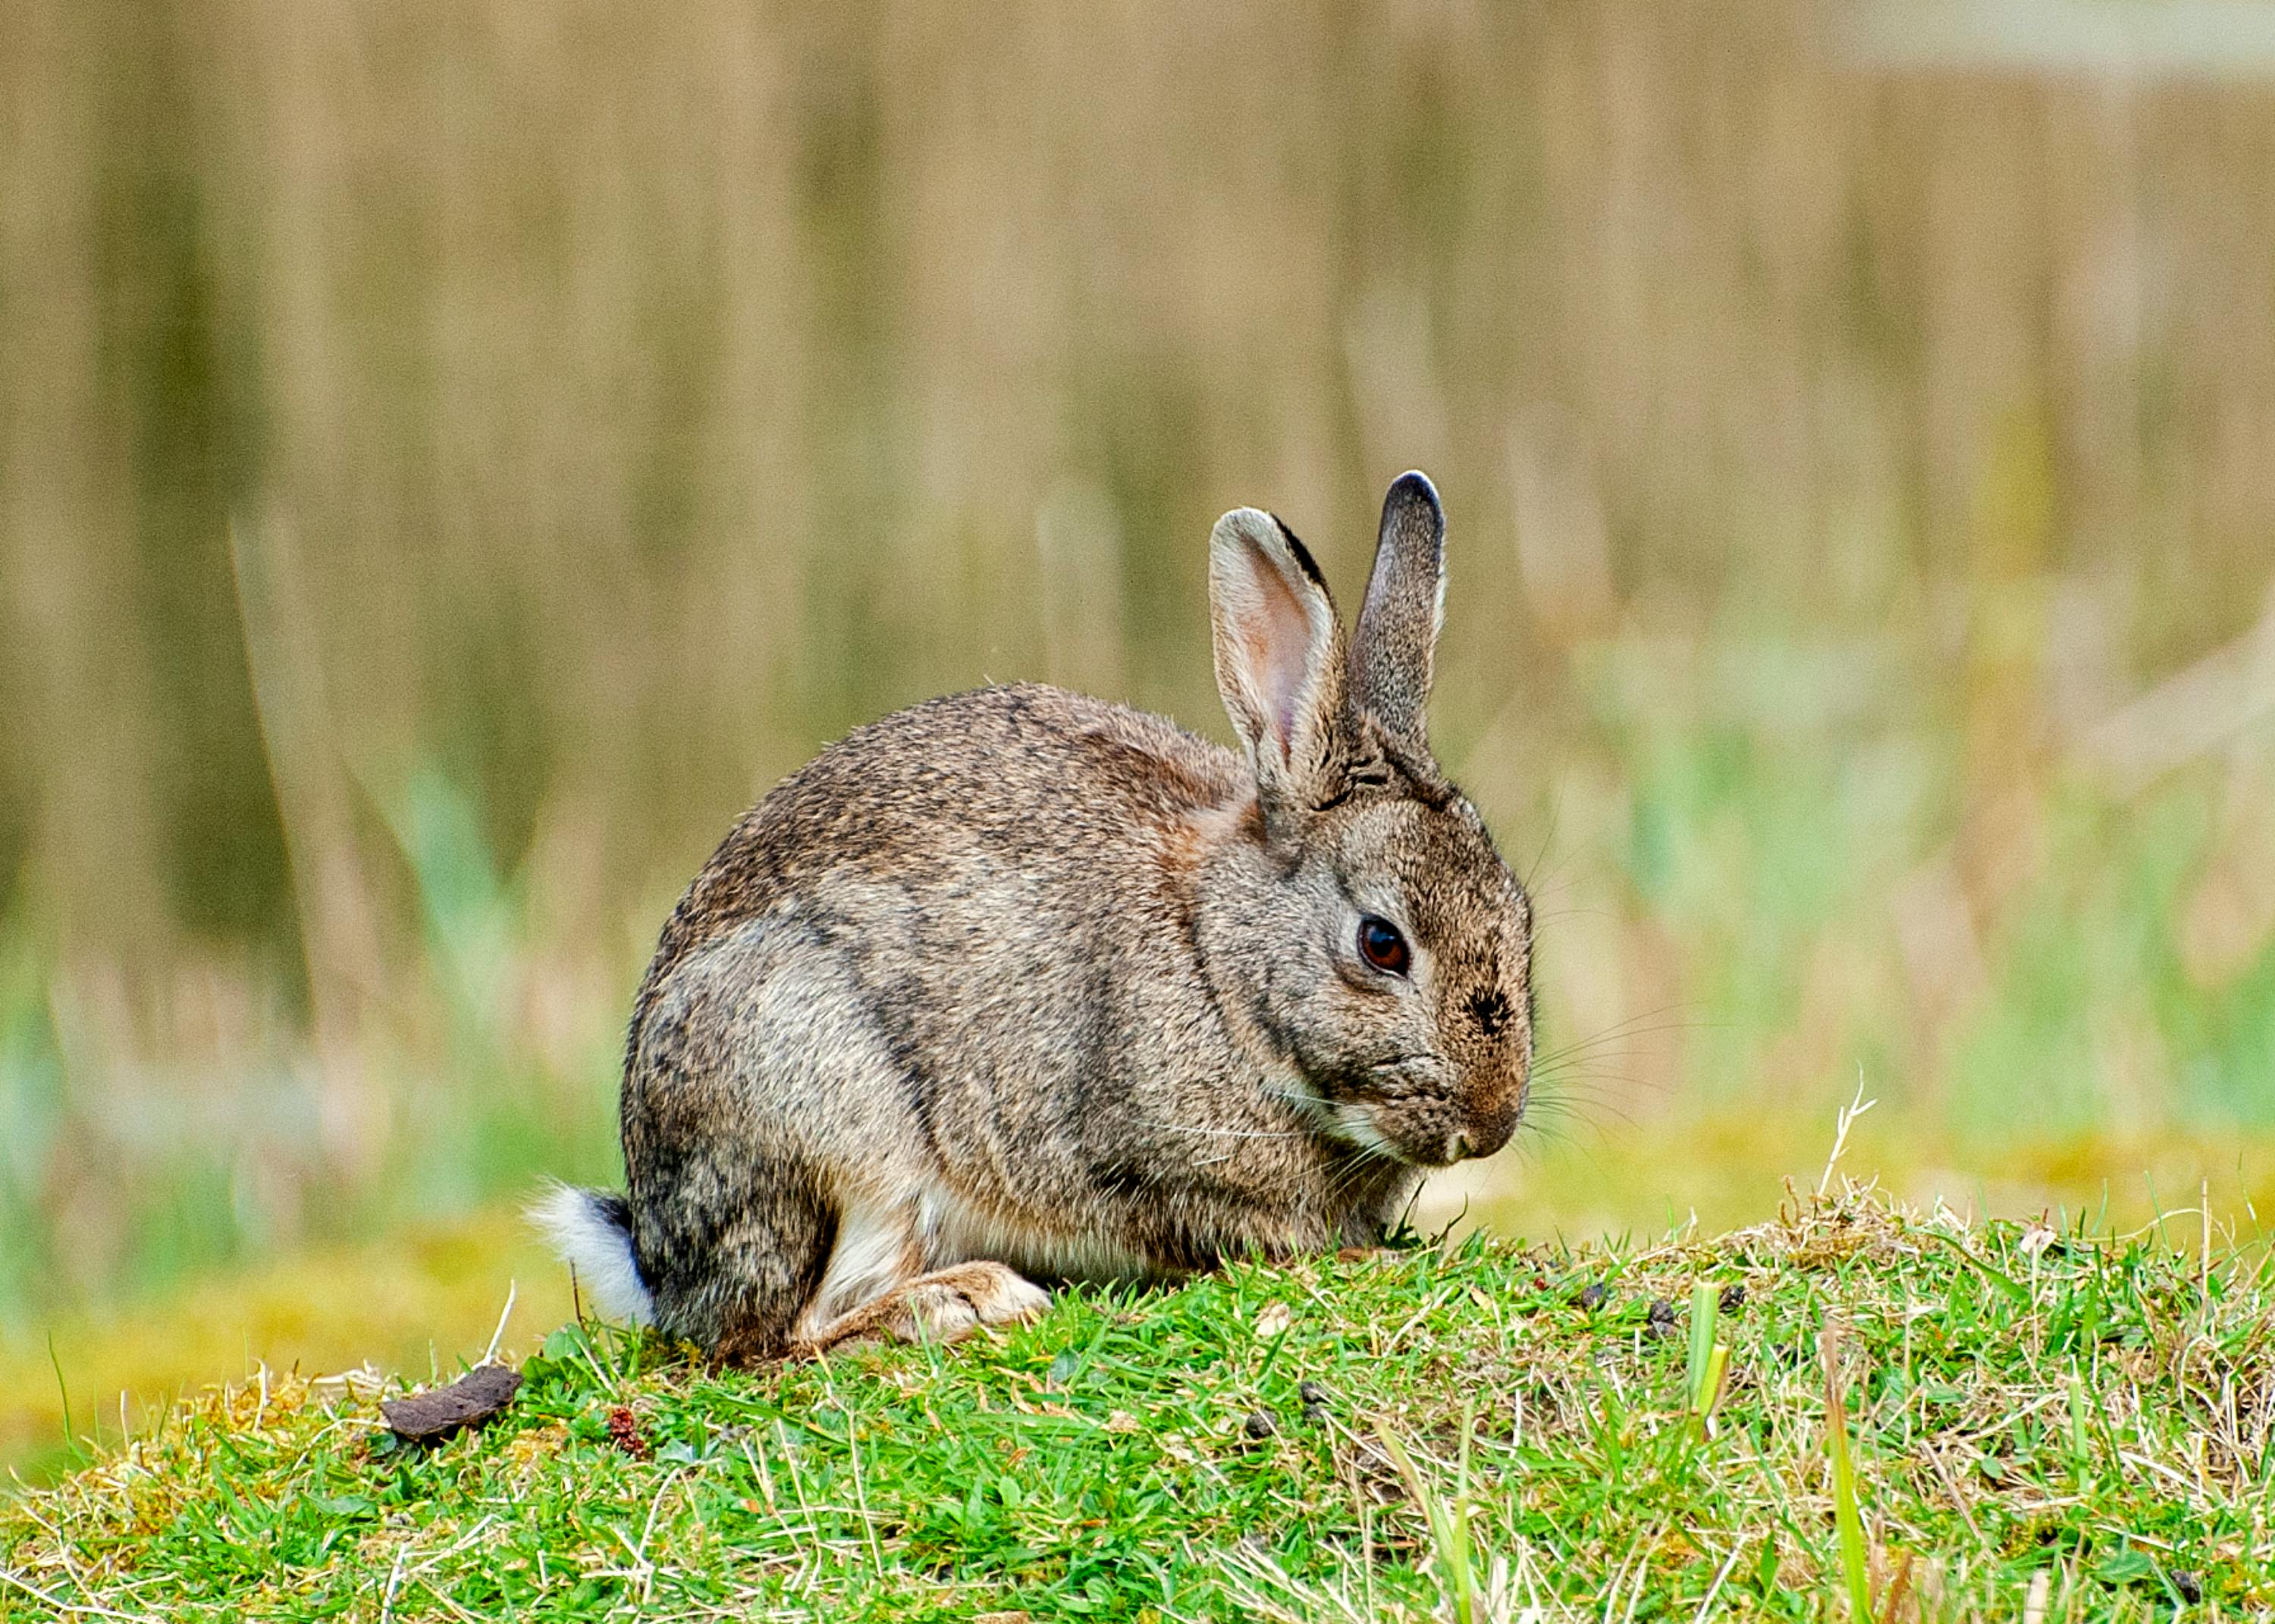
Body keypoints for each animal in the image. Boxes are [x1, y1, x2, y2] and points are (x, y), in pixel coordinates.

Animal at [535, 469, 1538, 1356]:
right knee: (778, 1334)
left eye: (1522, 920)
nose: (1490, 1125)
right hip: (820, 1109)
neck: (1218, 962)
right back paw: (967, 1301)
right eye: (1382, 944)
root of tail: (658, 1261)